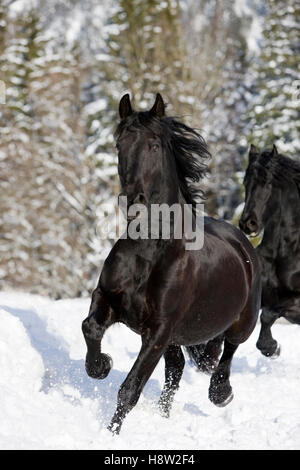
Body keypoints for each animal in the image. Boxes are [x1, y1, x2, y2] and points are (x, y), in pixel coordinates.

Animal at [81, 93, 260, 436]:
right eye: (119, 143)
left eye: (153, 144)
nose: (133, 200)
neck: (149, 251)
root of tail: (242, 243)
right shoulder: (108, 299)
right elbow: (91, 327)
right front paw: (101, 365)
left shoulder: (160, 330)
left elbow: (130, 389)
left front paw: (111, 434)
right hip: (177, 338)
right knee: (176, 371)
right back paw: (164, 417)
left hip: (242, 321)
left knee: (228, 350)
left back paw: (221, 393)